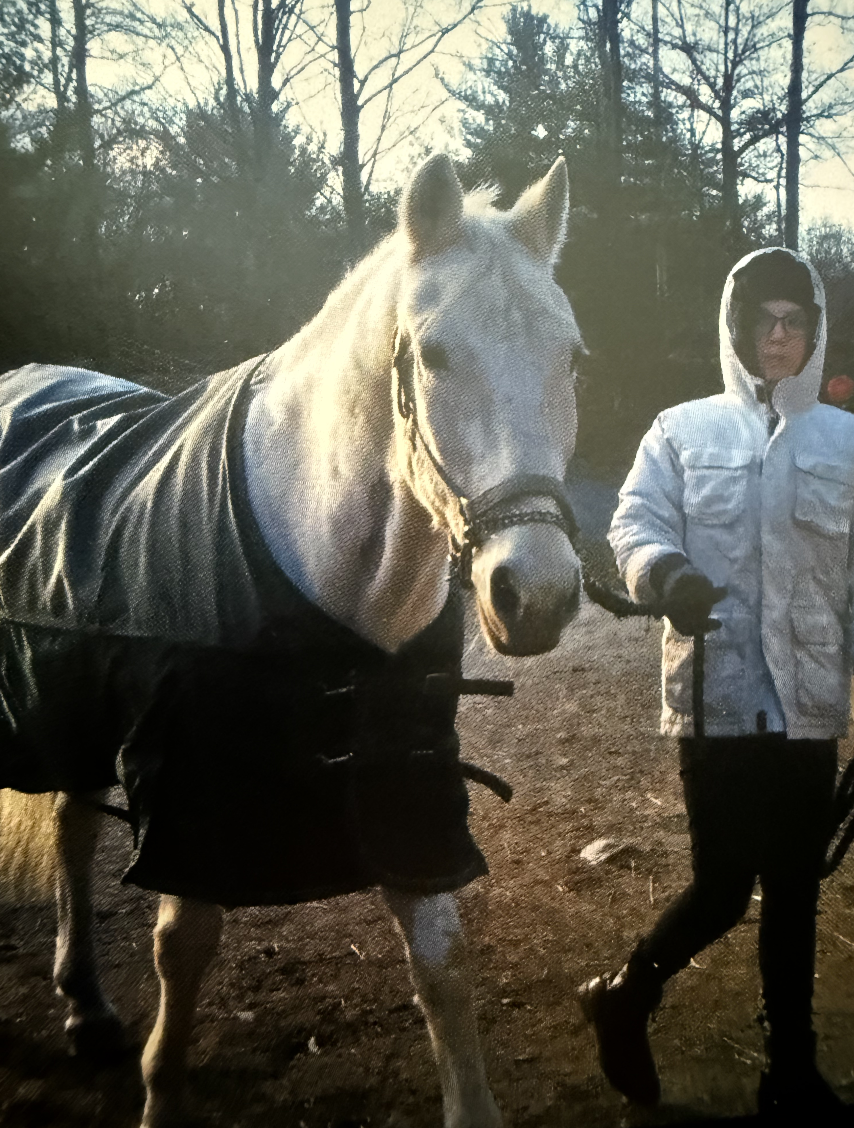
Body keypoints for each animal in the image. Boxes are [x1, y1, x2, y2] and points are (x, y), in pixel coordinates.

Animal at [0, 153, 585, 1128]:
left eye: (571, 357)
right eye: (433, 355)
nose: (534, 593)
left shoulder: (409, 783)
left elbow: (444, 965)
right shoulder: (192, 791)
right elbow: (183, 946)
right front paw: (161, 1097)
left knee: (75, 833)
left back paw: (86, 1007)